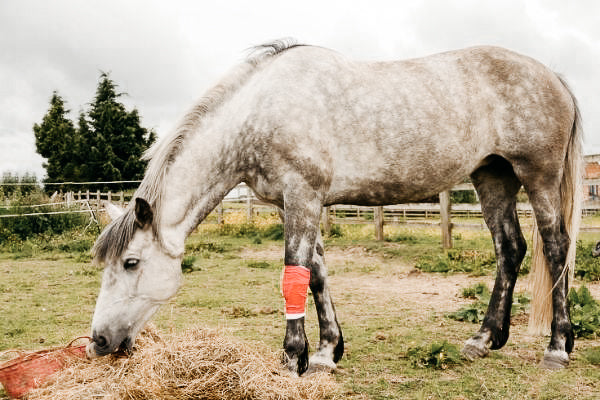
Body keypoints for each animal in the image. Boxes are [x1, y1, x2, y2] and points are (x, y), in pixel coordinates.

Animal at [88, 41, 580, 376]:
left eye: (131, 262)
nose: (98, 340)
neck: (260, 112)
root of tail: (553, 75)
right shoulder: (293, 204)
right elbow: (317, 274)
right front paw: (327, 351)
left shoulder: (302, 197)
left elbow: (294, 271)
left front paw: (294, 357)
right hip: (492, 177)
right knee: (510, 249)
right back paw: (484, 338)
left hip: (538, 176)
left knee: (555, 247)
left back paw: (557, 346)